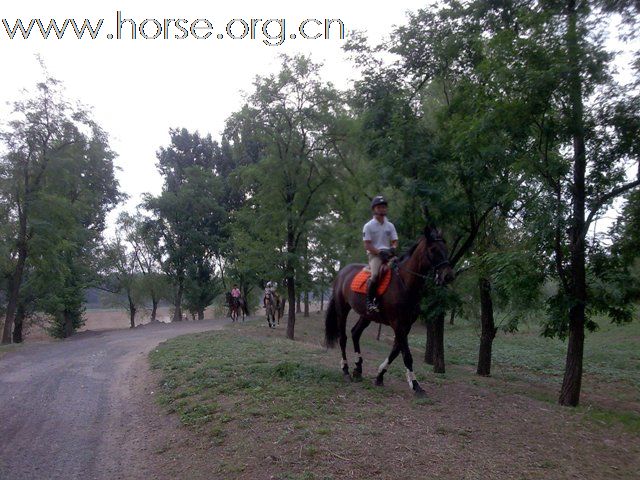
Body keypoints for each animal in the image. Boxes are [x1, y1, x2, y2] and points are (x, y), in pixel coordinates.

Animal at [324, 225, 456, 398]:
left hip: (366, 315)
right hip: (342, 310)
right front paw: (416, 385)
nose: (448, 276)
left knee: (355, 333)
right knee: (343, 338)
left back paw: (358, 369)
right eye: (433, 249)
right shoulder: (398, 324)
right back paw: (346, 371)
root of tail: (342, 272)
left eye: (445, 248)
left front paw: (380, 376)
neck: (404, 283)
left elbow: (395, 351)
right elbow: (407, 355)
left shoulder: (406, 325)